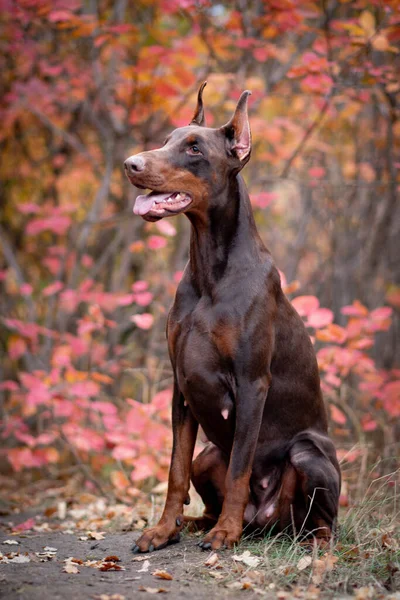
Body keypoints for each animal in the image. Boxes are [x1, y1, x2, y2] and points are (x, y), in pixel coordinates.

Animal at [124, 82, 340, 552]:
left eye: (194, 148)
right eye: (166, 139)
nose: (130, 164)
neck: (210, 272)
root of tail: (266, 522)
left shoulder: (251, 383)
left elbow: (241, 467)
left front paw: (226, 532)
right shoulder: (182, 386)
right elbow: (175, 469)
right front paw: (163, 529)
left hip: (309, 453)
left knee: (324, 522)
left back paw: (303, 542)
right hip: (209, 456)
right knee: (202, 483)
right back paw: (194, 523)